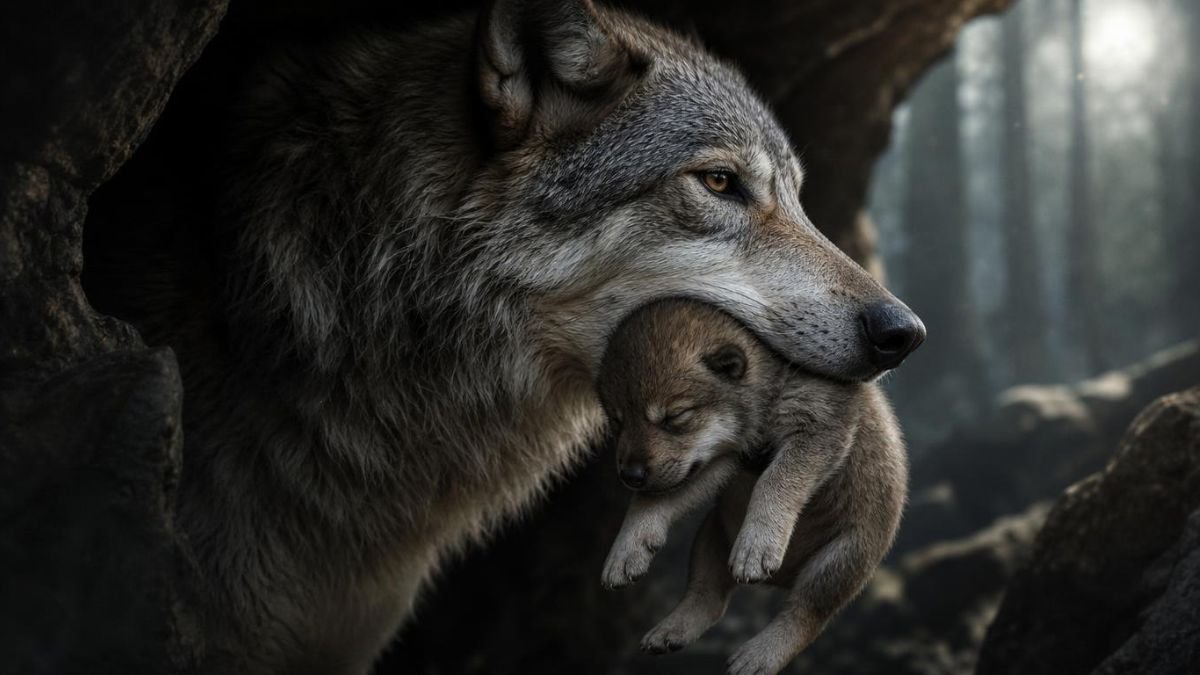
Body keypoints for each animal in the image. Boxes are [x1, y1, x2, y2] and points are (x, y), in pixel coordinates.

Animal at [595, 299, 907, 674]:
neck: (772, 382)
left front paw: (758, 544)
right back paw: (673, 629)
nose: (630, 475)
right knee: (708, 597)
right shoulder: (718, 459)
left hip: (839, 563)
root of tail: (782, 579)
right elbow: (650, 501)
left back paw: (761, 654)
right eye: (617, 421)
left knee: (804, 615)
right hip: (712, 536)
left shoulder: (819, 432)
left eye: (676, 417)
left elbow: (775, 482)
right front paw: (627, 548)